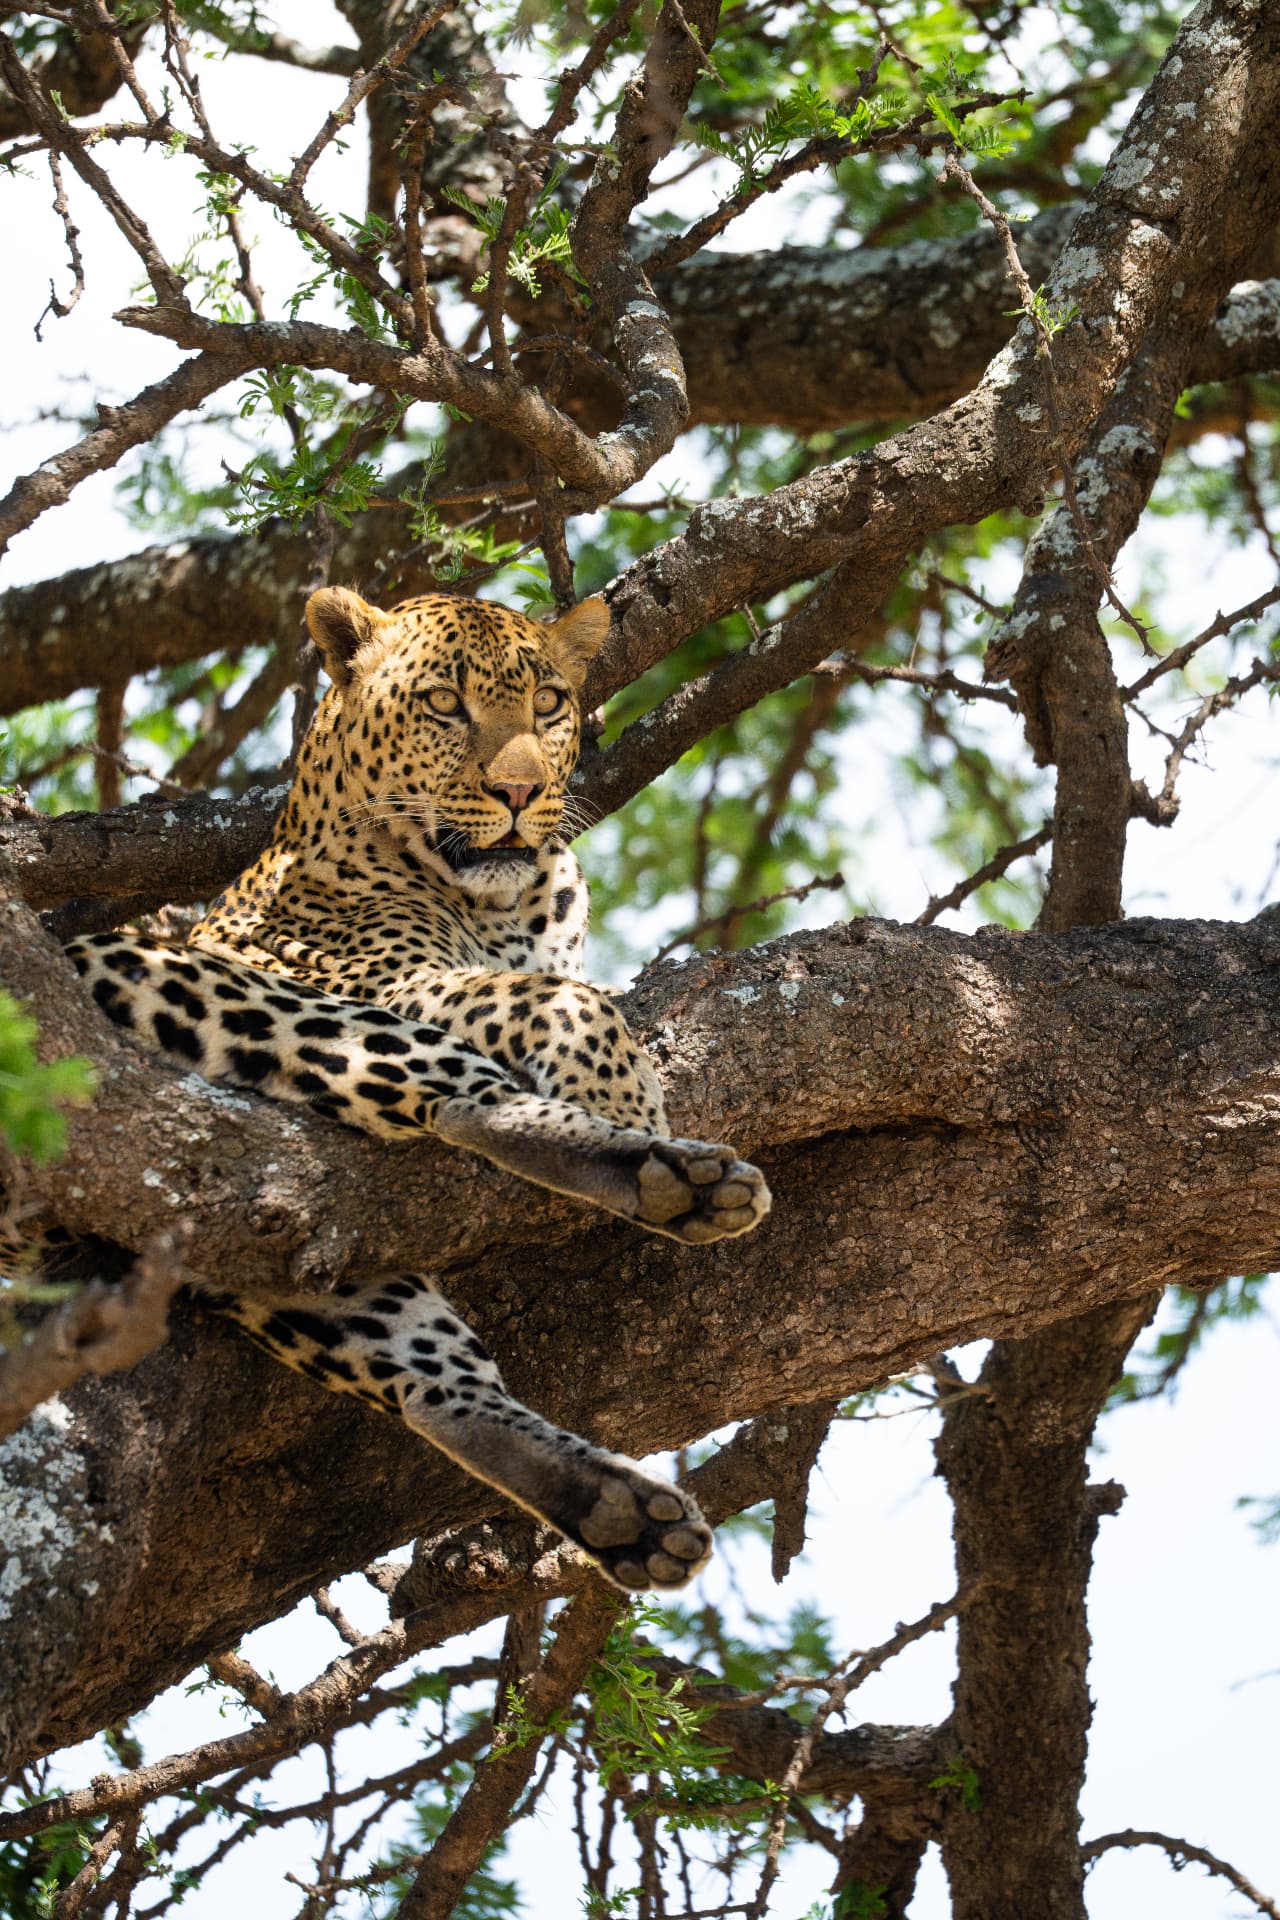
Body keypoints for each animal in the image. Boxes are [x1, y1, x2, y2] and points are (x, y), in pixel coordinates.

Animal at [65, 587, 771, 1592]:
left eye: (548, 703)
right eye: (445, 704)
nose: (519, 794)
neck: (509, 901)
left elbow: (559, 982)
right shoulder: (372, 973)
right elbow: (558, 997)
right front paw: (623, 1092)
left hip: (305, 1275)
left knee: (434, 1386)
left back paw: (620, 1509)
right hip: (182, 977)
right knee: (463, 1097)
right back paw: (665, 1172)